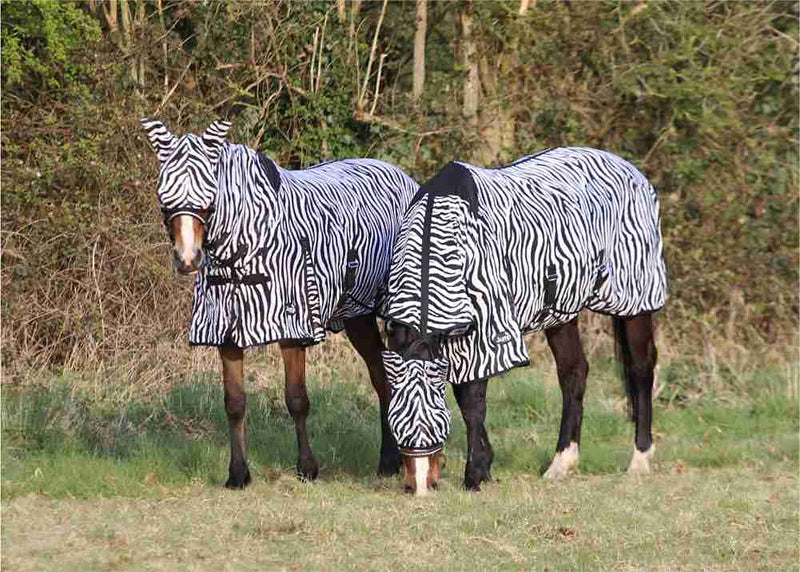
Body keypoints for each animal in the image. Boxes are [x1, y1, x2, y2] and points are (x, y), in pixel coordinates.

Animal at [141, 118, 418, 487]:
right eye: (163, 197)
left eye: (208, 198)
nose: (187, 259)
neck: (246, 249)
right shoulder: (227, 331)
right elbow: (234, 402)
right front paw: (238, 474)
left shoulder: (293, 328)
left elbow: (296, 398)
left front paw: (307, 468)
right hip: (357, 316)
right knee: (382, 378)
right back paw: (389, 461)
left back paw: (394, 461)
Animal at [380, 147, 667, 495]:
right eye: (396, 420)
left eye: (436, 418)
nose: (420, 486)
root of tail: (631, 170)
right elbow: (466, 398)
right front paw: (484, 466)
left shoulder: (488, 333)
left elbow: (471, 401)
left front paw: (475, 475)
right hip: (561, 312)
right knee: (574, 372)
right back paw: (561, 463)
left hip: (634, 302)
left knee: (641, 369)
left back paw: (640, 459)